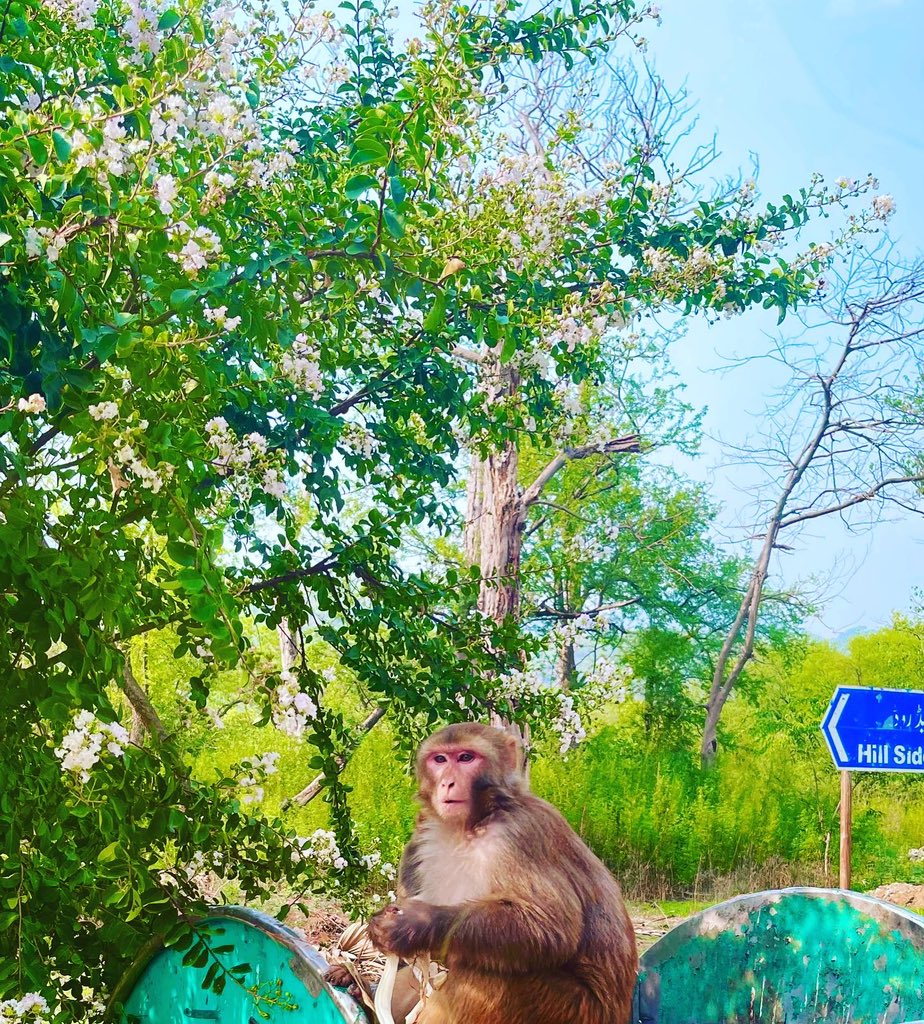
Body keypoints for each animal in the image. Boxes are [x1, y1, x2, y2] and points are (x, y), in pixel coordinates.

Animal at [364, 722, 638, 1024]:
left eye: (466, 758)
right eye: (440, 759)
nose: (447, 782)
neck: (470, 827)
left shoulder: (519, 833)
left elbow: (550, 926)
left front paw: (414, 923)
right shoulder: (423, 836)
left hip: (576, 1010)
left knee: (491, 977)